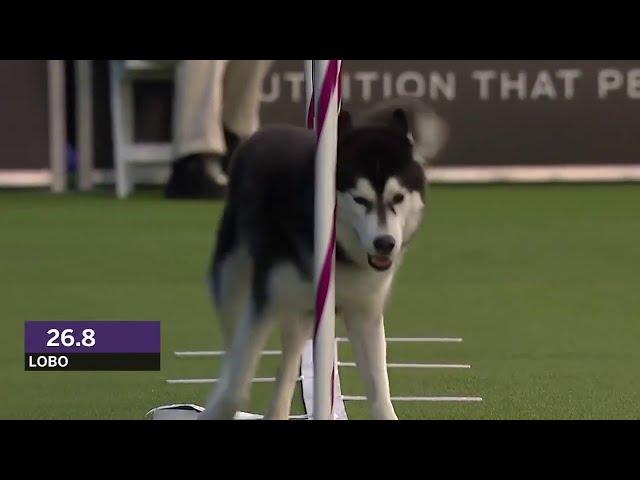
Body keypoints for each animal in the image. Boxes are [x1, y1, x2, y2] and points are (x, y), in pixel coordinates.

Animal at [201, 107, 424, 418]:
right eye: (360, 199)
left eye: (398, 197)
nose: (385, 243)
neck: (340, 253)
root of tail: (266, 130)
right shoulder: (264, 303)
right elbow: (236, 386)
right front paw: (217, 407)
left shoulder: (364, 312)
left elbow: (380, 394)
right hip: (232, 278)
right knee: (232, 346)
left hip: (302, 315)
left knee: (288, 360)